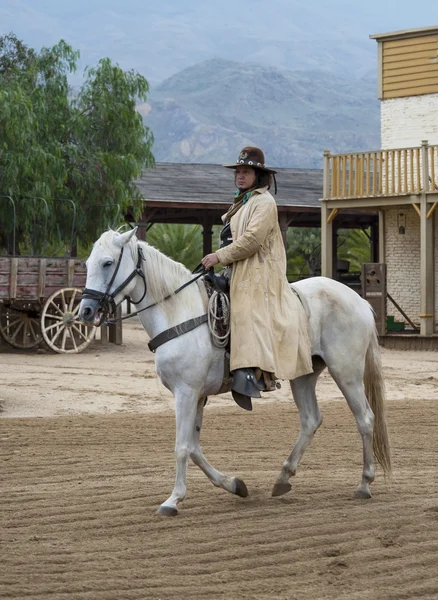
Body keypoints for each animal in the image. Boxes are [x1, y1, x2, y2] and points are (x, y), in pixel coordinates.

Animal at [78, 230, 390, 516]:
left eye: (107, 263)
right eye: (88, 263)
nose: (86, 310)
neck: (178, 312)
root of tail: (358, 300)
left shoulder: (186, 393)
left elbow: (182, 446)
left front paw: (172, 500)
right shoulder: (198, 396)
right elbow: (194, 447)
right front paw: (234, 485)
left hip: (346, 372)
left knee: (365, 418)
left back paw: (364, 484)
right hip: (304, 376)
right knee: (311, 420)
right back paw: (283, 478)